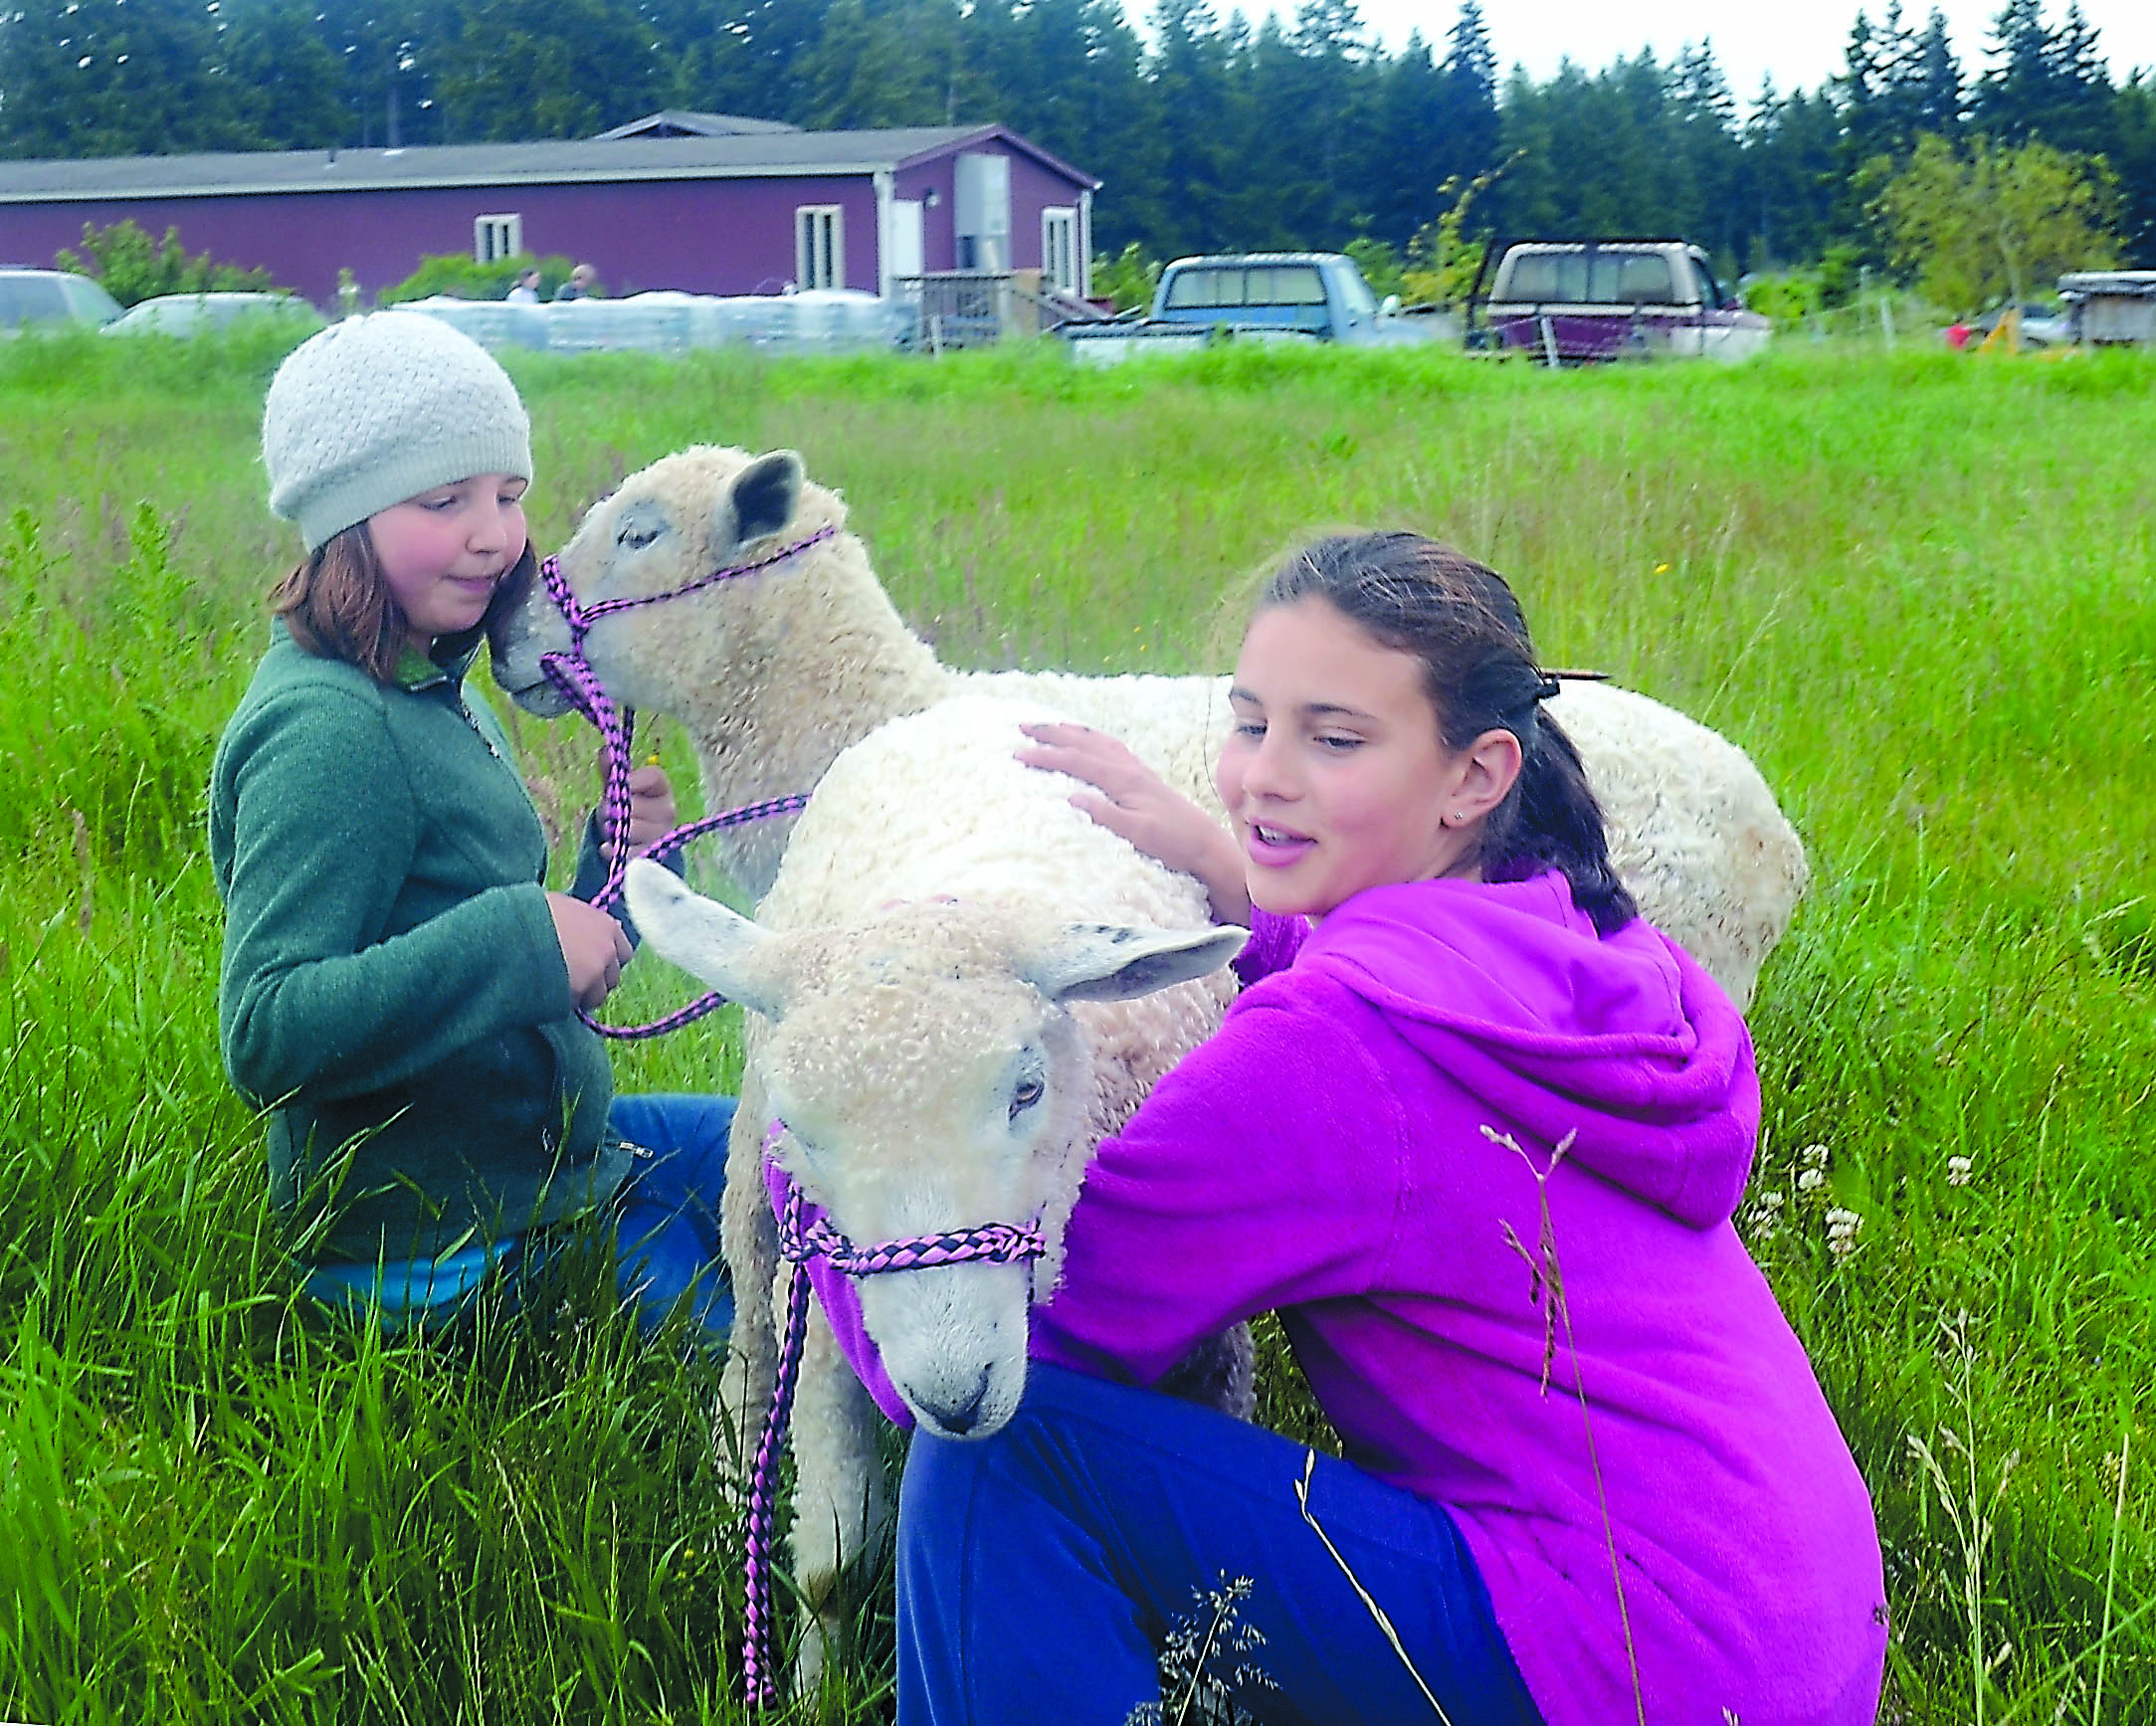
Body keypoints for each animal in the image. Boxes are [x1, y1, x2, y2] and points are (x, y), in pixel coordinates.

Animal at [621, 694, 1253, 1686]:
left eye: (1027, 1088)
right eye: (801, 1128)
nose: (953, 1396)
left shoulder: (1210, 1352)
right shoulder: (827, 1309)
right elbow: (833, 1565)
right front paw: (814, 1690)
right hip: (756, 1215)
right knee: (751, 1359)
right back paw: (732, 1503)